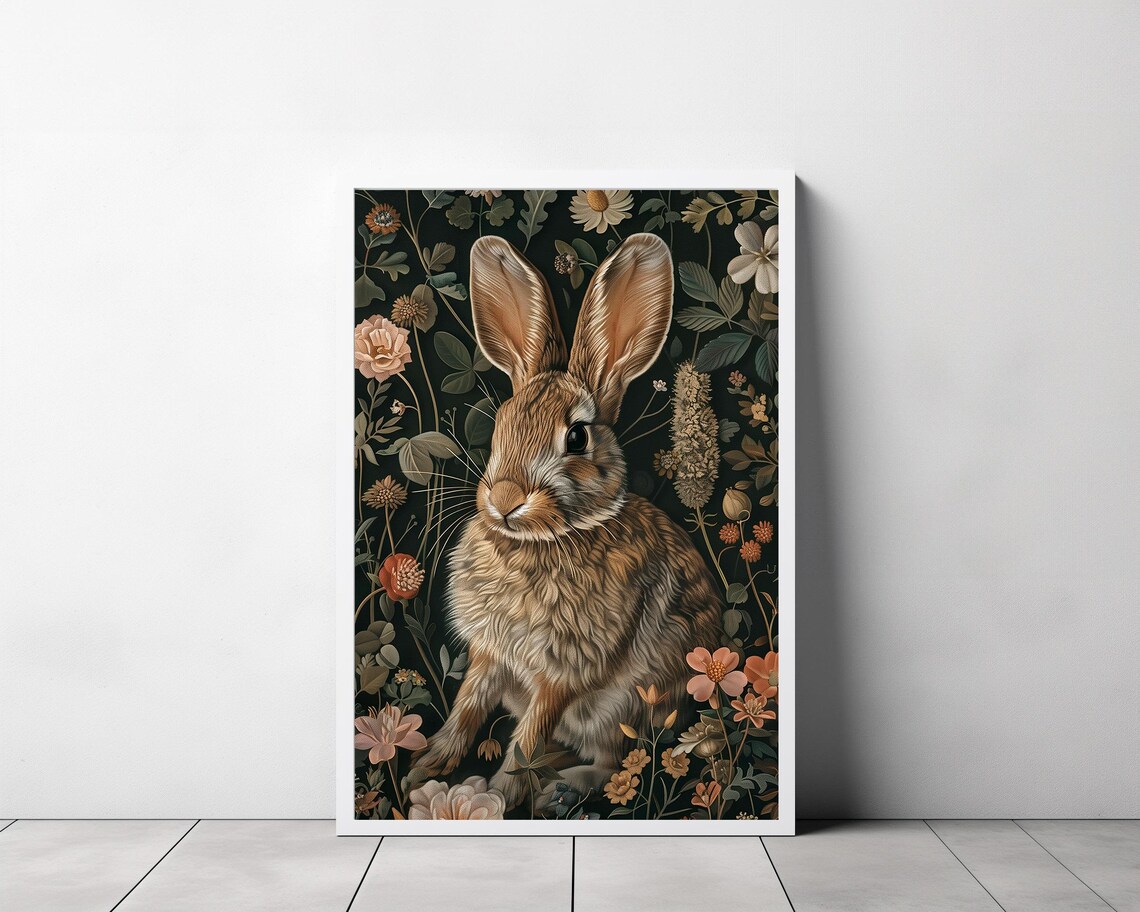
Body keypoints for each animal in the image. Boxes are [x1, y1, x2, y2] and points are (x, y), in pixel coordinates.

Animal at [411, 232, 723, 810]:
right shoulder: (491, 656)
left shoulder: (562, 675)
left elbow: (527, 738)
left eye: (576, 437)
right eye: (502, 425)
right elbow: (467, 707)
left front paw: (497, 800)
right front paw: (428, 766)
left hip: (623, 706)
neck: (541, 539)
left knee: (612, 761)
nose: (505, 498)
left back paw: (557, 790)